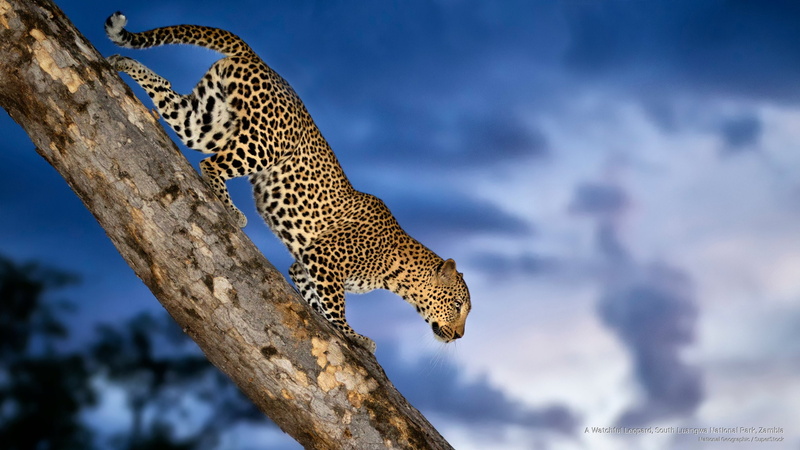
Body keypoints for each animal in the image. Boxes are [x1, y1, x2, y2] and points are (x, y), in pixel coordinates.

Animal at [104, 12, 471, 353]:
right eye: (457, 306)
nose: (459, 336)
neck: (398, 273)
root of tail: (257, 57)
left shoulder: (305, 266)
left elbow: (316, 302)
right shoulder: (325, 259)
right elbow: (336, 310)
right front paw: (357, 337)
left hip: (207, 120)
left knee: (169, 95)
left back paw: (120, 62)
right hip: (264, 143)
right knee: (211, 163)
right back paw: (231, 210)